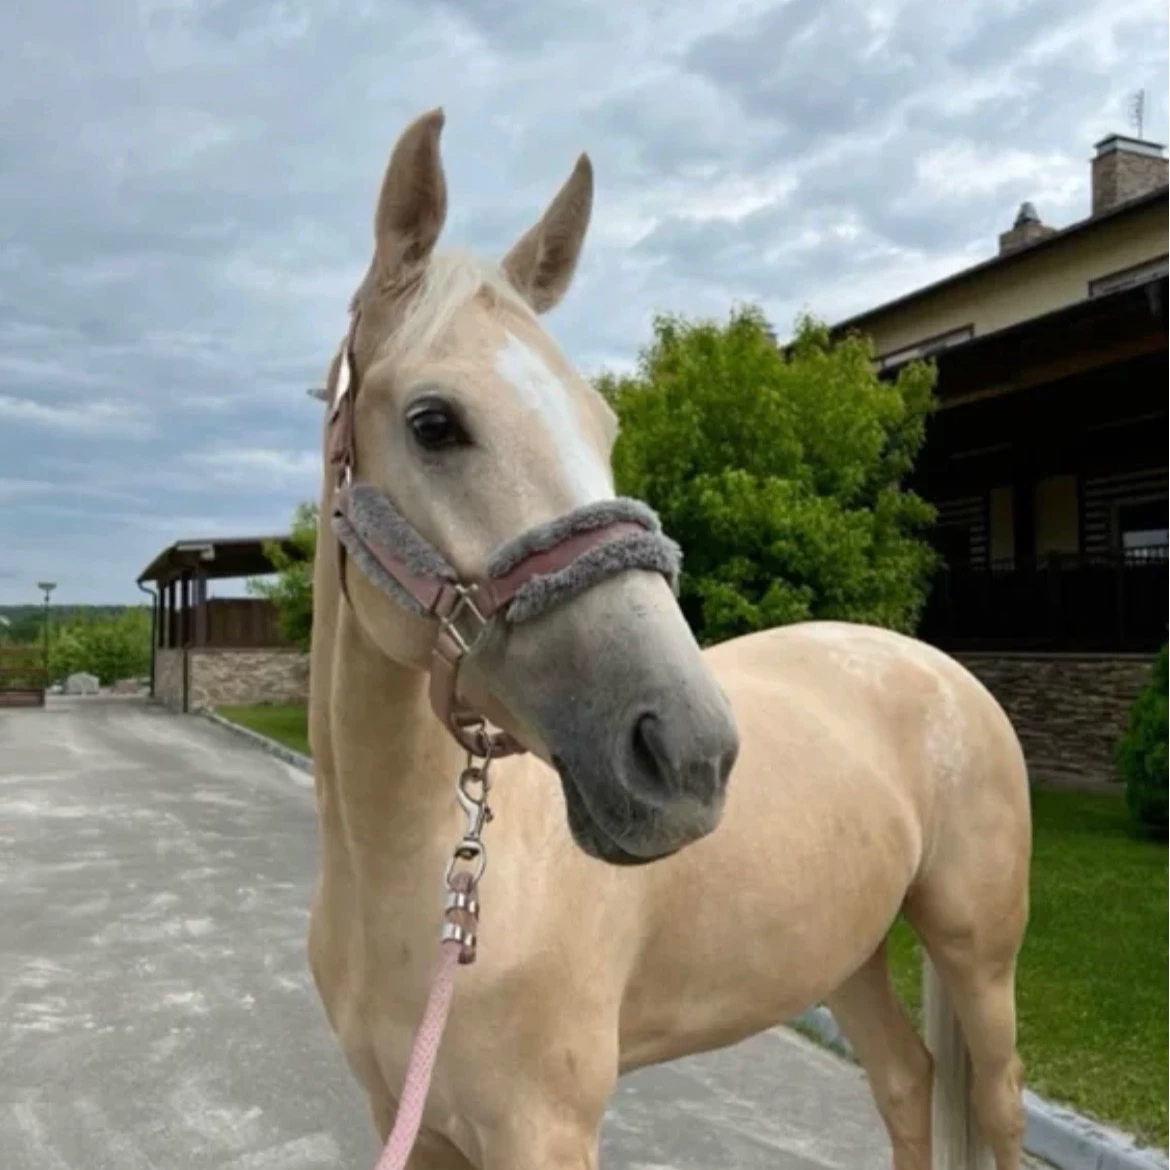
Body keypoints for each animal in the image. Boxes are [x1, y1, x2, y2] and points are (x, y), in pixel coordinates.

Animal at [306, 108, 1032, 1170]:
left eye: (603, 424)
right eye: (434, 422)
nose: (688, 756)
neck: (423, 888)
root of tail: (940, 670)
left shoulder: (544, 1130)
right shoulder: (408, 1120)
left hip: (979, 953)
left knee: (993, 1105)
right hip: (848, 949)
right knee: (907, 1086)